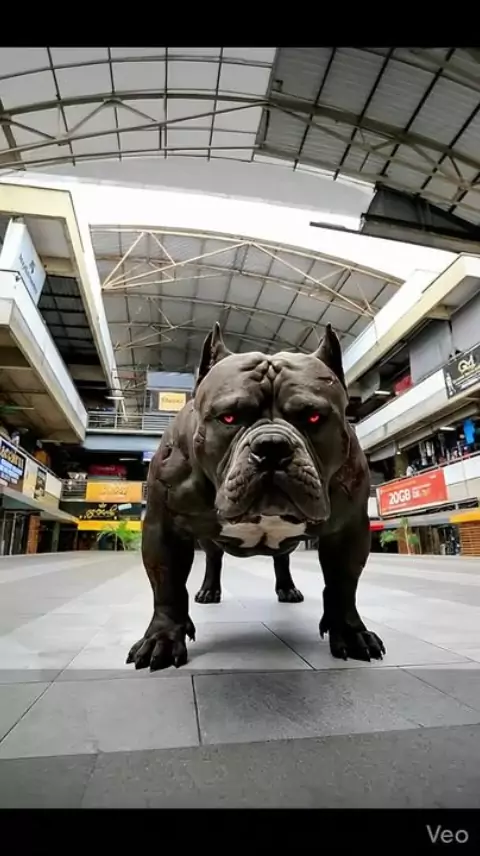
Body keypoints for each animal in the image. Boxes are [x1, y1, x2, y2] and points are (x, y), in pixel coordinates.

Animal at [127, 323, 385, 671]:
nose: (272, 447)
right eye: (228, 418)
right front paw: (163, 638)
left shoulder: (349, 531)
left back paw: (287, 588)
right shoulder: (163, 527)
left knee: (282, 557)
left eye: (314, 418)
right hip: (207, 540)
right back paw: (209, 591)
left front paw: (349, 632)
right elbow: (167, 587)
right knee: (213, 558)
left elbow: (343, 585)